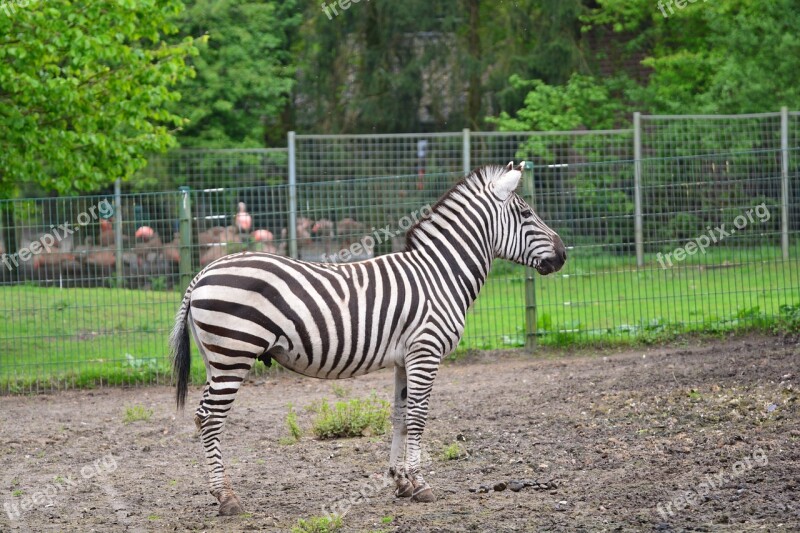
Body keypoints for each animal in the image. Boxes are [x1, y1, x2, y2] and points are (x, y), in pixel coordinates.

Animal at [171, 160, 564, 512]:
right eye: (526, 213)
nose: (562, 255)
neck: (439, 274)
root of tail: (203, 271)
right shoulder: (426, 351)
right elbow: (418, 417)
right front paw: (421, 484)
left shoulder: (406, 359)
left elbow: (400, 416)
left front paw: (401, 483)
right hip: (233, 355)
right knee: (211, 419)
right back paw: (227, 498)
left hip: (216, 359)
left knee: (202, 416)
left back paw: (218, 492)